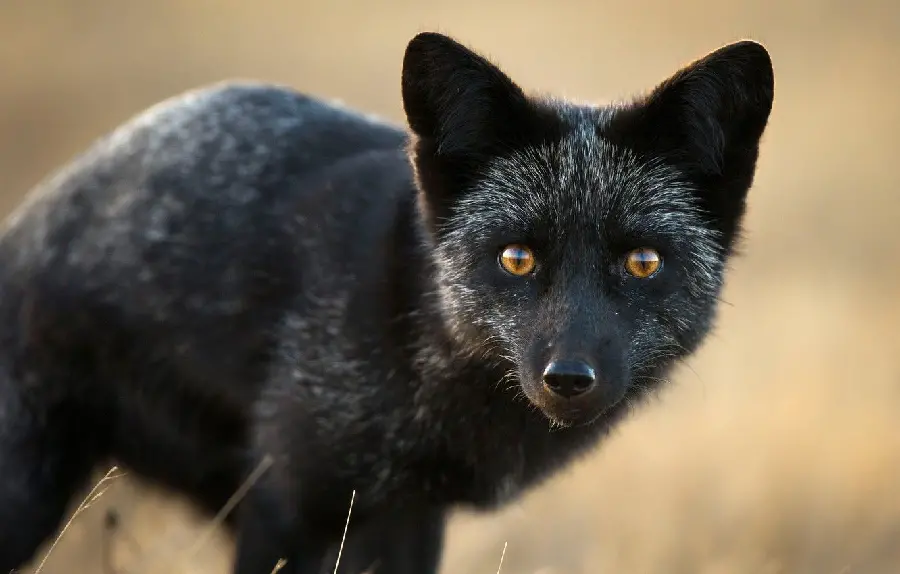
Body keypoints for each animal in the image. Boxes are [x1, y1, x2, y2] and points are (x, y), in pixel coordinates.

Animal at [0, 30, 772, 574]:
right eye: (517, 258)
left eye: (643, 263)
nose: (569, 379)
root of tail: (28, 222)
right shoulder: (289, 501)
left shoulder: (408, 515)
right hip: (29, 494)